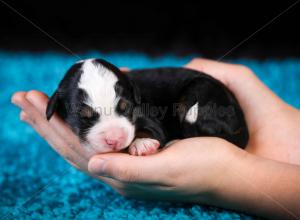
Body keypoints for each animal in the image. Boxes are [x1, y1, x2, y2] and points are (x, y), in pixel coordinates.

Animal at [46, 57, 248, 156]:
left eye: (125, 107)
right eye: (84, 117)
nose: (115, 140)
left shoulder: (147, 115)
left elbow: (149, 129)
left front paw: (142, 143)